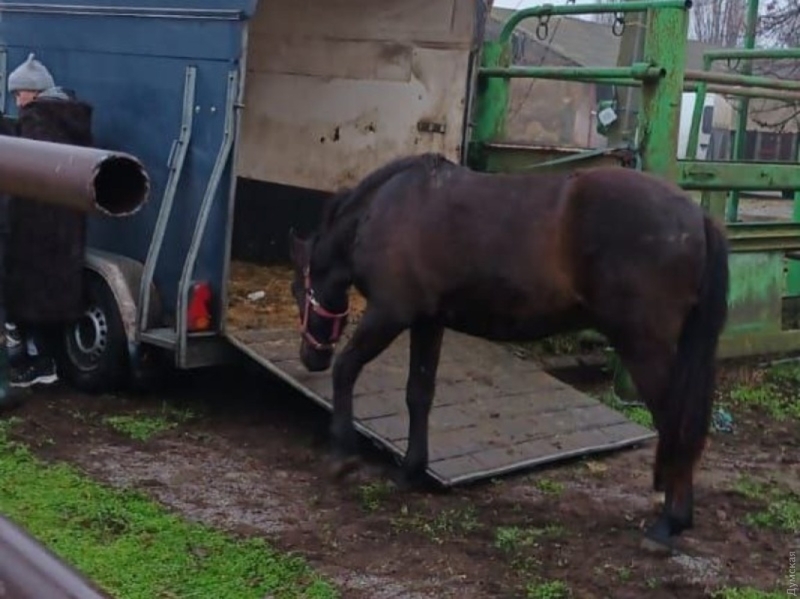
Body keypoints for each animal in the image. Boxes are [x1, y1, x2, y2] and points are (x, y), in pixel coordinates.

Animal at [290, 154, 732, 548]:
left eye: (299, 291)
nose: (311, 357)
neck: (389, 207)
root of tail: (697, 217)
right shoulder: (427, 321)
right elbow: (419, 394)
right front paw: (410, 471)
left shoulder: (389, 313)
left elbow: (347, 370)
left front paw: (342, 455)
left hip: (644, 347)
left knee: (675, 420)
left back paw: (668, 523)